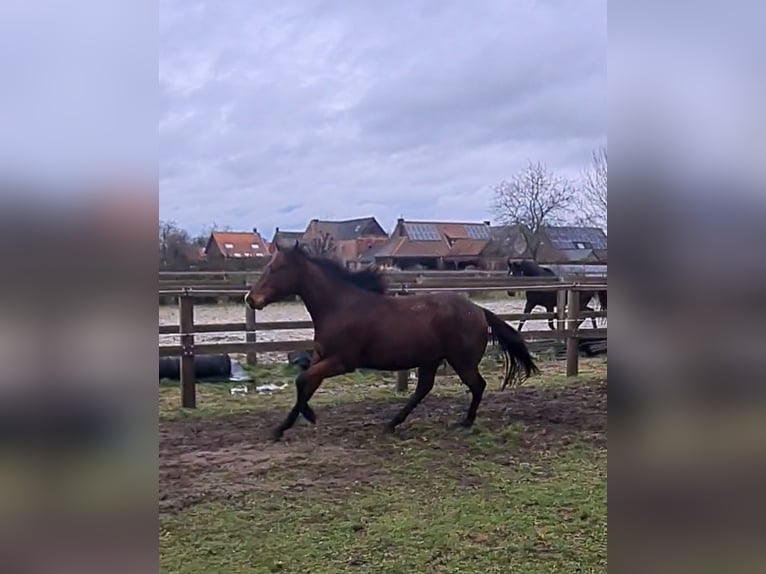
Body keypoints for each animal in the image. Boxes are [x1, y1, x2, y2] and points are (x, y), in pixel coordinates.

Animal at [246, 242, 540, 440]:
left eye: (277, 268)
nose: (251, 299)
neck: (339, 306)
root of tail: (478, 310)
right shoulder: (321, 358)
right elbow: (306, 385)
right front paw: (282, 428)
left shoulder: (341, 362)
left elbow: (301, 381)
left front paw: (308, 416)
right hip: (430, 360)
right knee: (423, 389)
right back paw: (392, 423)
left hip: (461, 361)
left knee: (477, 385)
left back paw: (465, 423)